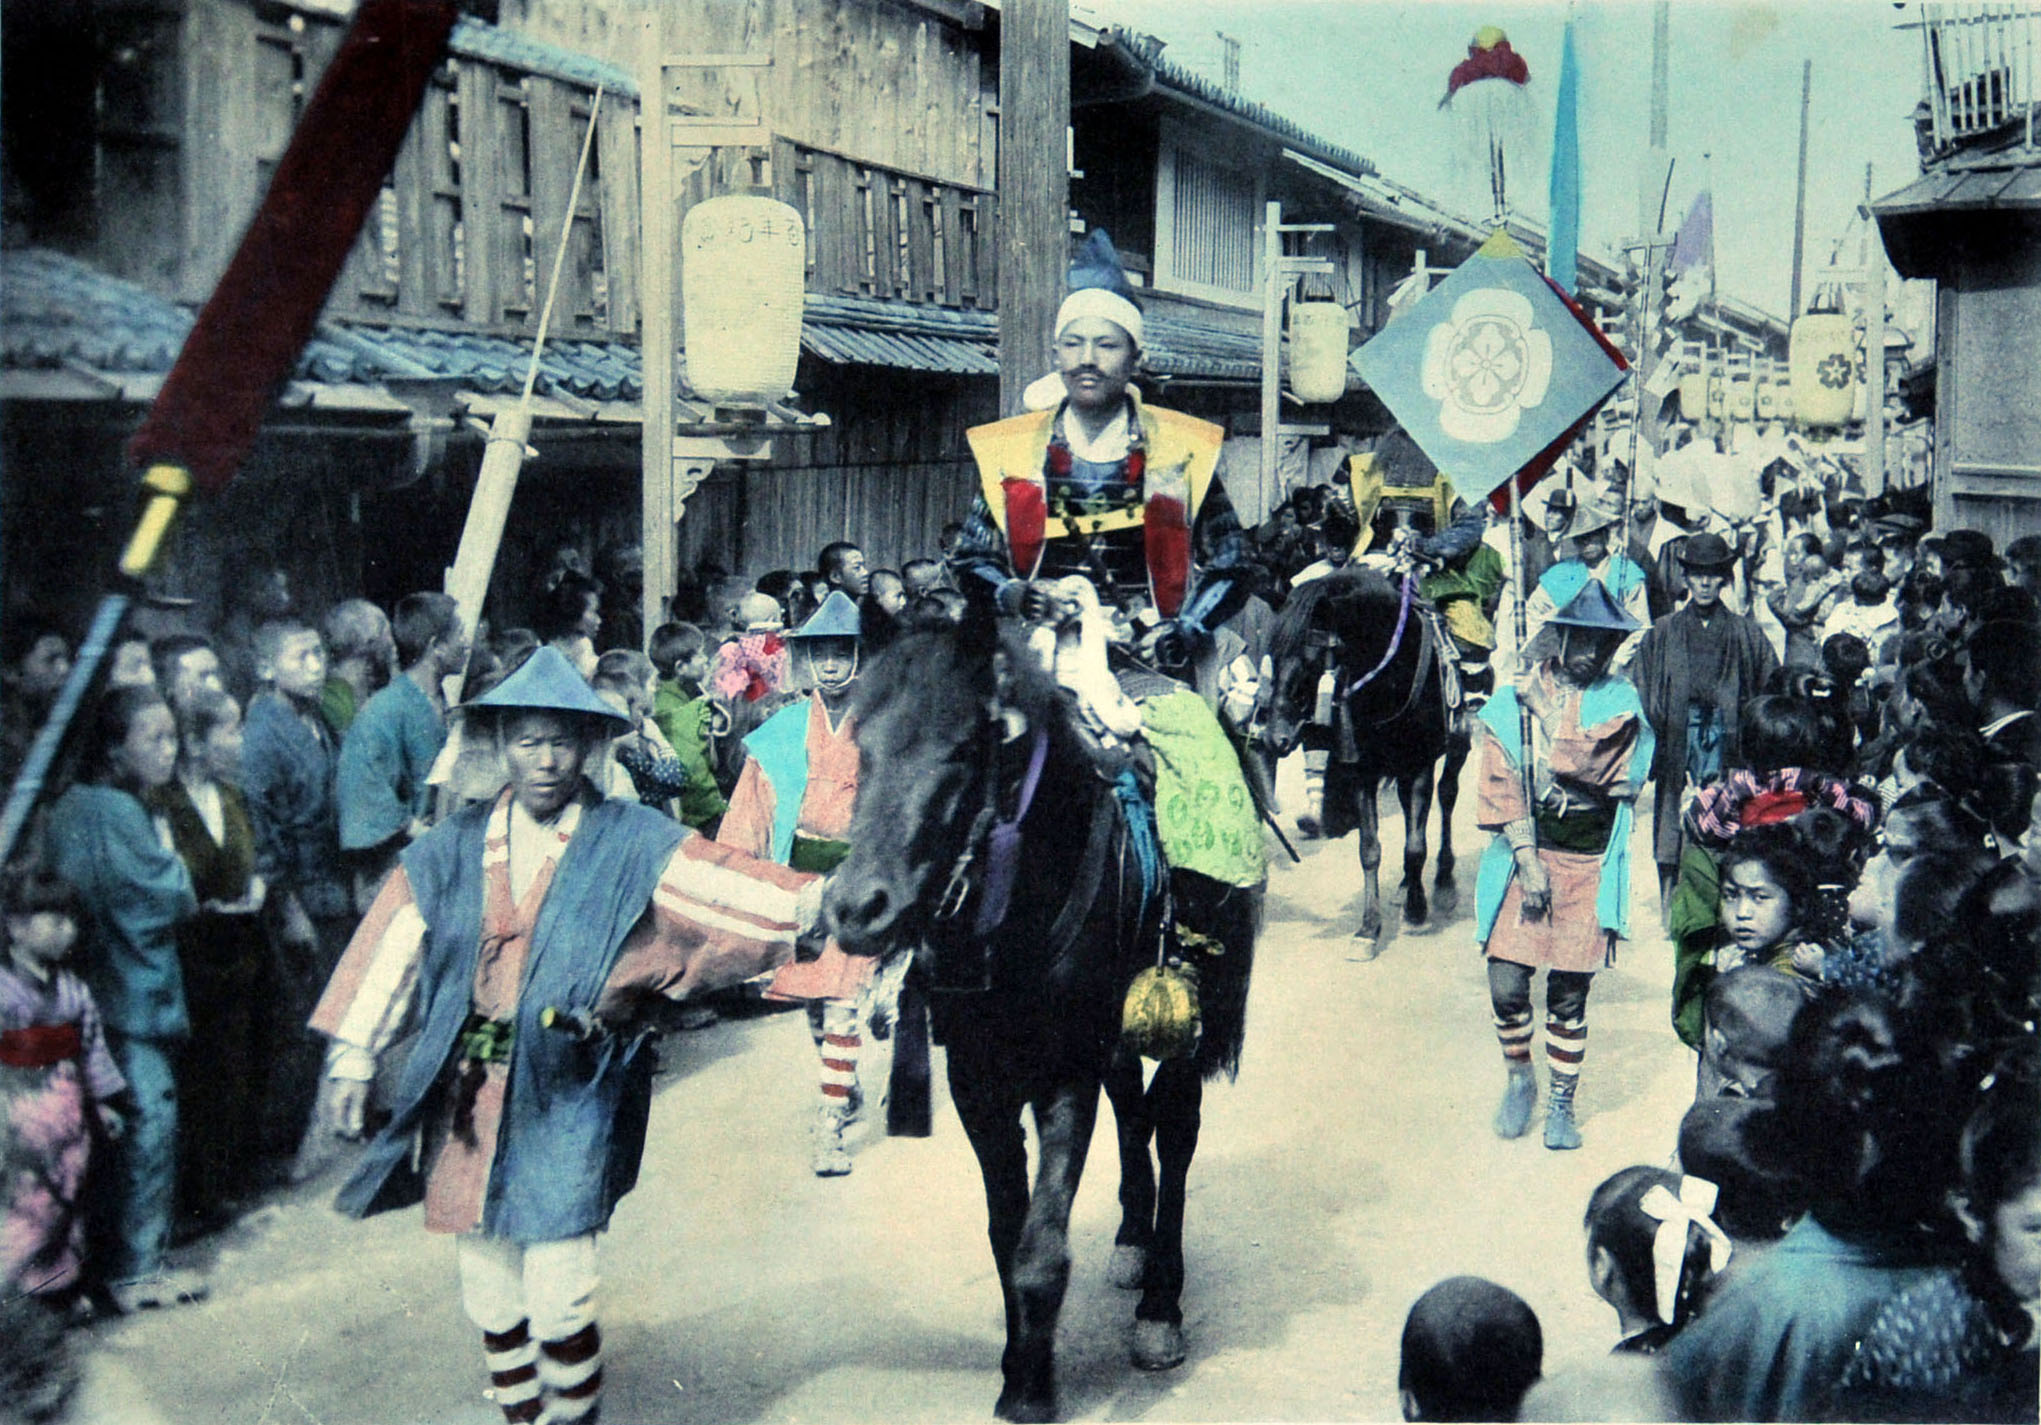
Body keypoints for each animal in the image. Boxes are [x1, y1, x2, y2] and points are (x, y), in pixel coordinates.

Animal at [820, 620, 1249, 1420]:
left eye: (965, 748)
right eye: (863, 744)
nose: (859, 908)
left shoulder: (1063, 1076)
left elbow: (1041, 1244)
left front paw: (1030, 1388)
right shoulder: (976, 1081)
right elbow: (1005, 1230)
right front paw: (1019, 1363)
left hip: (1189, 1007)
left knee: (1174, 1128)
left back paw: (1160, 1305)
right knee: (1133, 1108)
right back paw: (1131, 1237)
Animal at [1257, 559, 1469, 947]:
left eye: (1311, 660)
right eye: (1273, 659)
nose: (1276, 737)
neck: (1390, 679)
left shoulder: (1420, 764)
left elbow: (1415, 846)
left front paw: (1416, 912)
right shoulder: (1364, 769)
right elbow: (1369, 849)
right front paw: (1369, 928)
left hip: (1458, 741)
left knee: (1447, 796)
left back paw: (1443, 883)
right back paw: (1405, 885)